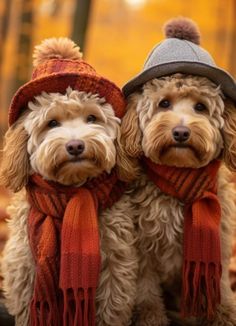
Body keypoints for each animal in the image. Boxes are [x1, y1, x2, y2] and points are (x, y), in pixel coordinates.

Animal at [0, 37, 137, 324]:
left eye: (92, 118)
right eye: (52, 123)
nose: (75, 146)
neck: (69, 194)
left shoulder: (115, 268)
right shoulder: (25, 269)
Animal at [118, 17, 236, 326]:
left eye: (201, 107)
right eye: (164, 103)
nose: (181, 132)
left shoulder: (219, 241)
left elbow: (217, 283)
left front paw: (224, 314)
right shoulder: (142, 246)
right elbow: (145, 290)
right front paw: (151, 317)